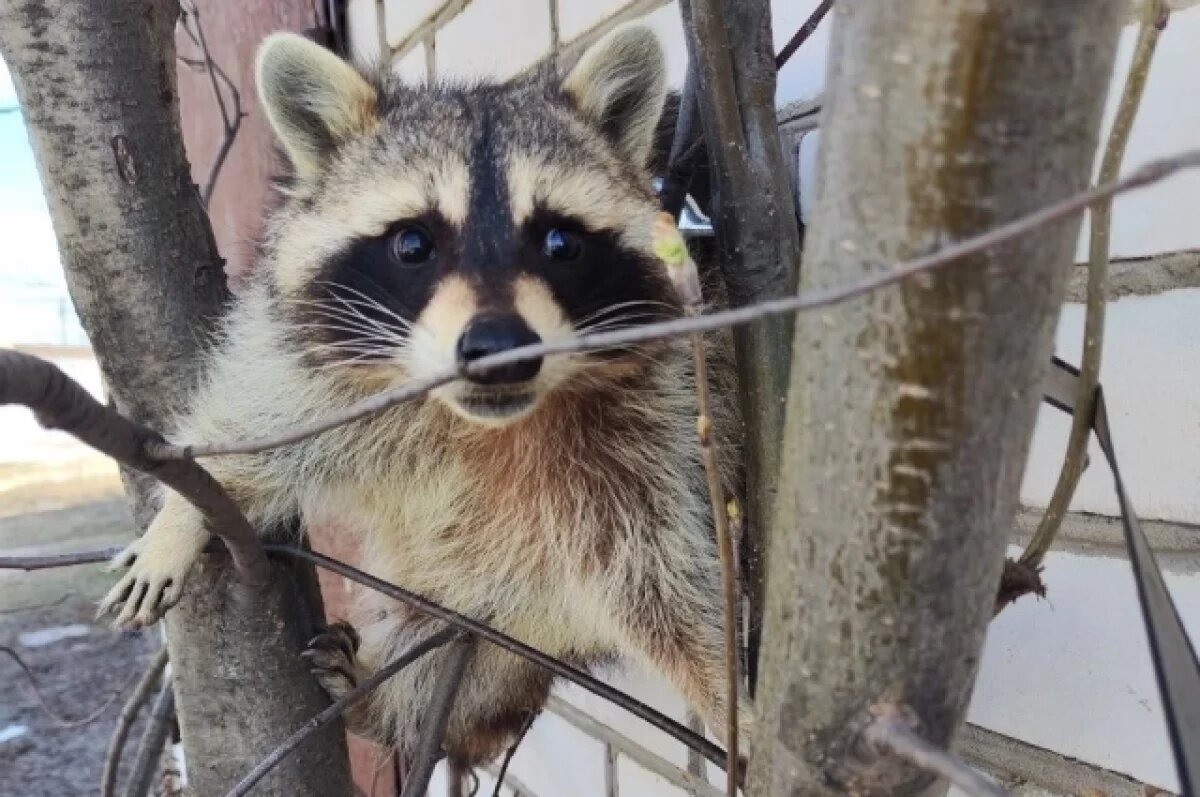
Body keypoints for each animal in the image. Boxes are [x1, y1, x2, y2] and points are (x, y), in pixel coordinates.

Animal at [98, 28, 744, 768]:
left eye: (560, 241)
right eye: (413, 243)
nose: (500, 345)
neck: (477, 423)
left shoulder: (651, 426)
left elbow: (661, 579)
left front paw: (734, 702)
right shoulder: (317, 370)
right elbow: (255, 427)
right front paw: (181, 516)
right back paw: (384, 699)